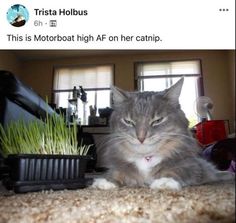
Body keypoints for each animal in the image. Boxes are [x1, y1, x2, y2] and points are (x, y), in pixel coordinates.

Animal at [91, 78, 233, 190]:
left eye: (157, 120)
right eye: (128, 121)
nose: (141, 138)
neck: (146, 158)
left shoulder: (191, 166)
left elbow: (177, 171)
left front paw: (165, 181)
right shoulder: (121, 165)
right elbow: (116, 172)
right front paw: (106, 181)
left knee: (215, 172)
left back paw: (229, 174)